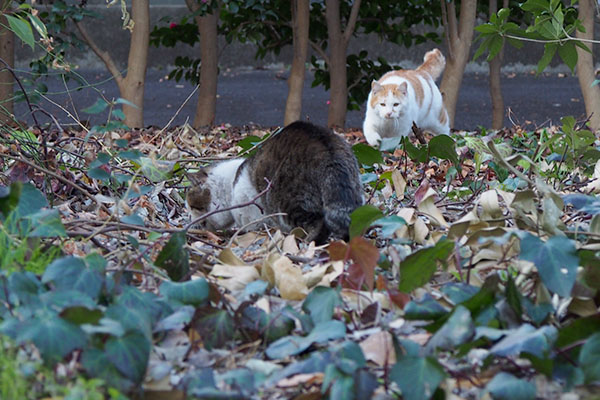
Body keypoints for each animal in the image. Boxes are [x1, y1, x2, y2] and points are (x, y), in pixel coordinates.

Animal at [188, 120, 364, 242]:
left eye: (191, 206)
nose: (190, 220)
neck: (230, 186)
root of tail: (327, 148)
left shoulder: (255, 221)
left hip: (288, 202)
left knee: (318, 223)